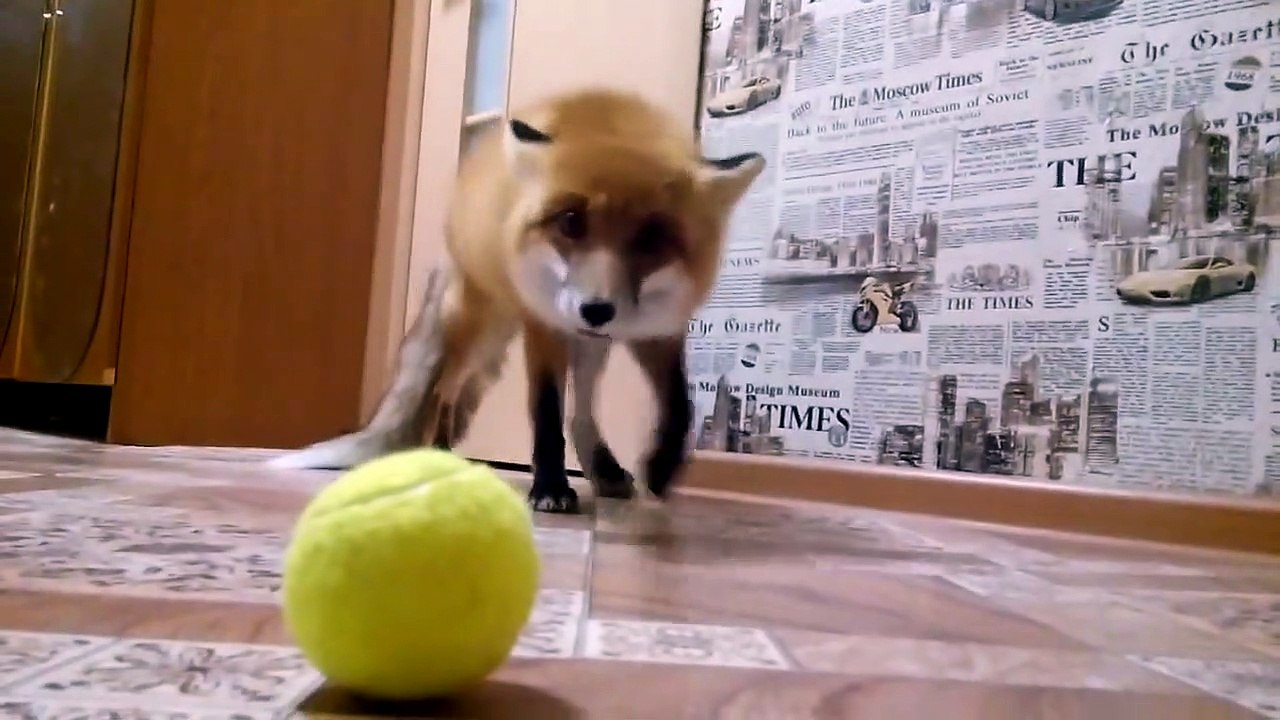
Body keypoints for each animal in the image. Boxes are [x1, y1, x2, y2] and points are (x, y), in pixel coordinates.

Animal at [268, 88, 765, 514]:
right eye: (570, 221)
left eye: (652, 237)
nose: (596, 310)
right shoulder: (543, 325)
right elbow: (545, 412)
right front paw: (550, 488)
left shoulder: (657, 331)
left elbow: (678, 404)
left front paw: (659, 468)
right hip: (479, 330)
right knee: (445, 392)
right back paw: (441, 458)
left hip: (588, 345)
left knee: (582, 410)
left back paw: (603, 470)